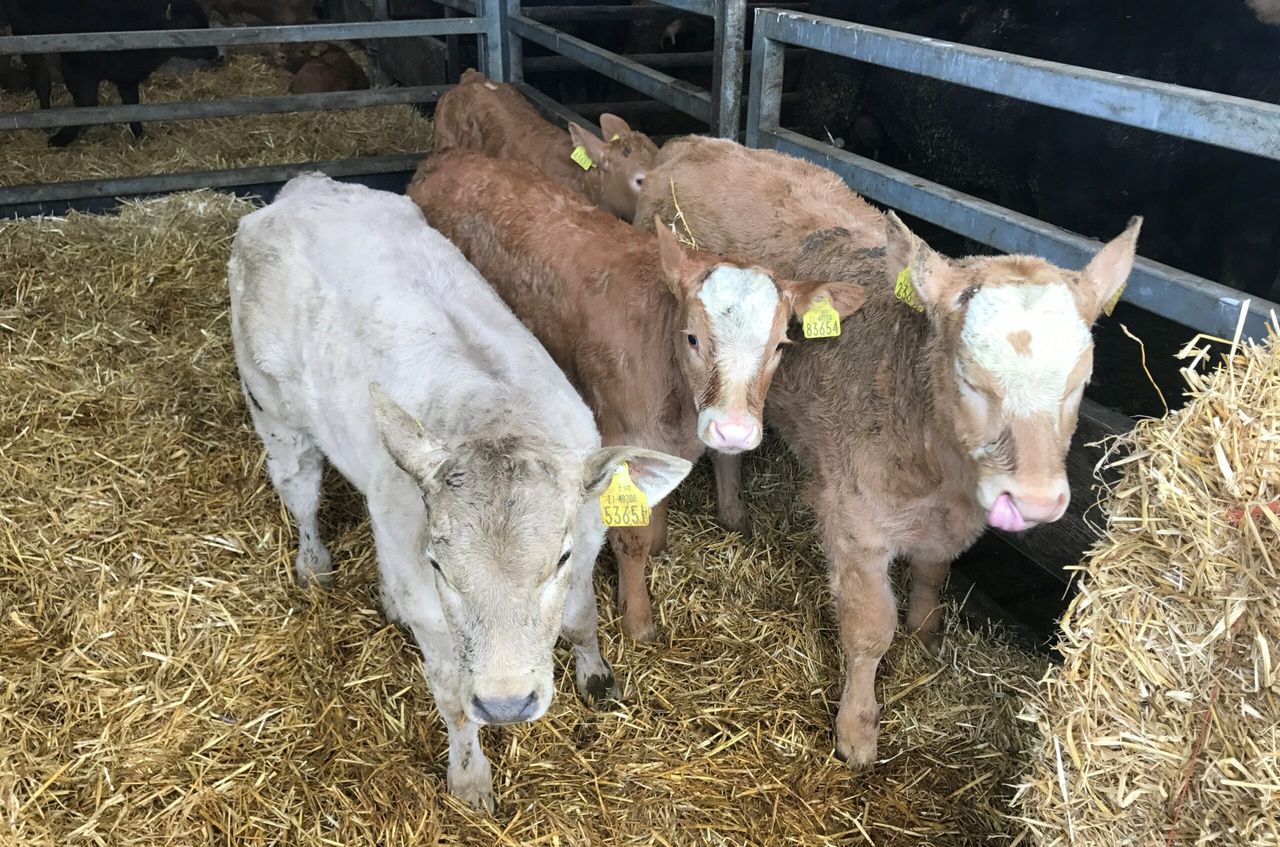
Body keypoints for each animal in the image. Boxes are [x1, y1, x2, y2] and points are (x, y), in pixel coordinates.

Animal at [4, 0, 219, 147]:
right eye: (190, 22)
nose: (214, 51)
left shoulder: (127, 76)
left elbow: (133, 104)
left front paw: (139, 133)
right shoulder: (78, 70)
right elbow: (86, 104)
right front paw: (63, 137)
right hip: (25, 28)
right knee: (41, 76)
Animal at [228, 175, 692, 812]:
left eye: (559, 558)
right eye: (440, 565)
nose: (507, 704)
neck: (495, 417)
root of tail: (302, 190)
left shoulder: (586, 543)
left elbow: (579, 619)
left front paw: (596, 676)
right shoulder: (432, 609)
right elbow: (452, 699)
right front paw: (470, 780)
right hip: (272, 411)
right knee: (301, 492)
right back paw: (314, 563)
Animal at [408, 150, 866, 641]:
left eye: (781, 345)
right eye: (692, 338)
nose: (733, 432)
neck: (677, 404)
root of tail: (446, 158)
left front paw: (661, 543)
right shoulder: (620, 437)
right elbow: (631, 537)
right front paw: (639, 618)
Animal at [634, 136, 1140, 766]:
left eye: (1081, 381)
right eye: (968, 376)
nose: (1038, 500)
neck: (939, 467)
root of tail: (694, 143)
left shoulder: (948, 521)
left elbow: (932, 573)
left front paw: (925, 636)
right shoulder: (855, 519)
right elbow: (870, 627)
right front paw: (857, 730)